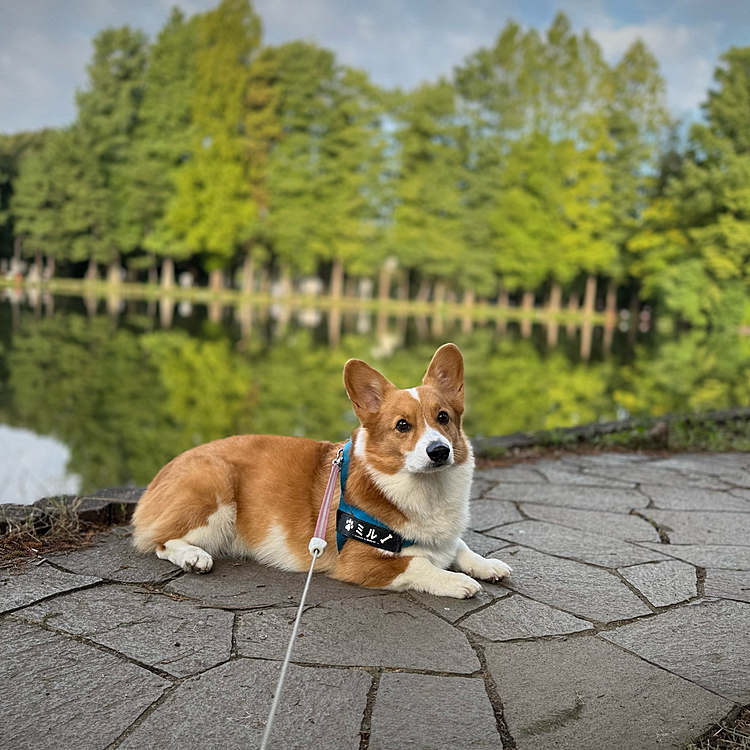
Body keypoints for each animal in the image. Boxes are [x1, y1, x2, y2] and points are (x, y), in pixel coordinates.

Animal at [132, 346, 516, 600]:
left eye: (443, 417)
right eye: (402, 425)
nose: (439, 451)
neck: (426, 488)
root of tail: (161, 473)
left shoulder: (444, 538)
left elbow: (458, 547)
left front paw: (485, 564)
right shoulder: (360, 561)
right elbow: (419, 565)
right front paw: (457, 582)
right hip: (216, 486)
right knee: (161, 541)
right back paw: (193, 557)